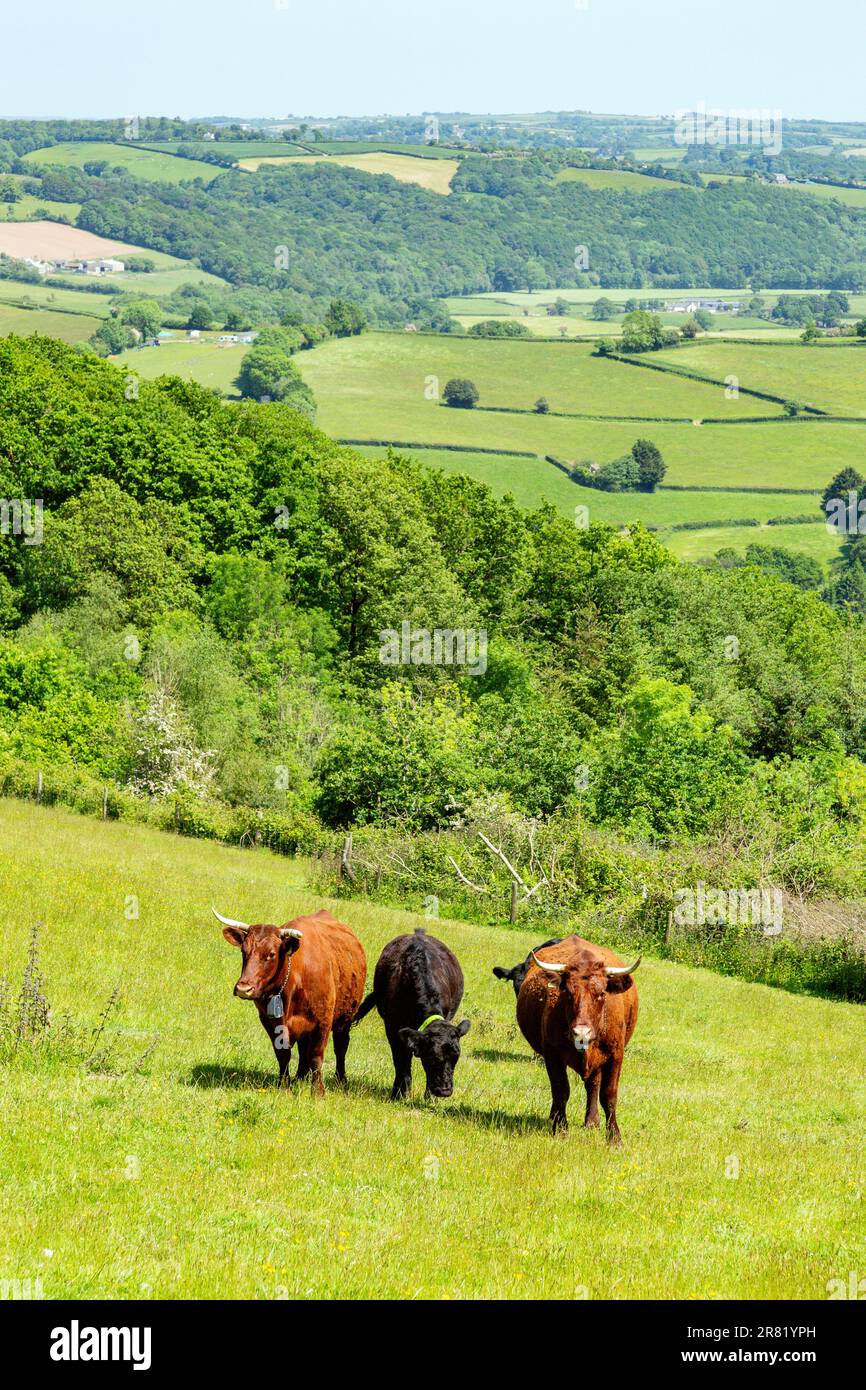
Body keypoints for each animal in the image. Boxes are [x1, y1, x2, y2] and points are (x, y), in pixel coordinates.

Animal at [214, 906, 366, 1094]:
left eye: (271, 954)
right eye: (244, 951)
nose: (244, 988)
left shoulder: (323, 1021)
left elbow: (316, 1056)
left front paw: (318, 1091)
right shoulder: (269, 1021)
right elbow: (283, 1054)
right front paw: (284, 1085)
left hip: (346, 1018)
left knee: (341, 1046)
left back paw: (340, 1080)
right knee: (303, 1049)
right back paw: (300, 1078)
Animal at [354, 927, 470, 1100]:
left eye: (456, 1057)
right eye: (432, 1057)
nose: (444, 1091)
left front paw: (429, 1096)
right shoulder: (393, 1028)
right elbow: (401, 1062)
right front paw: (399, 1093)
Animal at [516, 935, 640, 1145]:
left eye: (601, 993)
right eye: (567, 992)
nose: (582, 1033)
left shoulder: (615, 1055)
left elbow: (608, 1095)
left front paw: (614, 1138)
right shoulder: (552, 1055)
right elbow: (561, 1090)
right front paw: (560, 1128)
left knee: (593, 1085)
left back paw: (592, 1121)